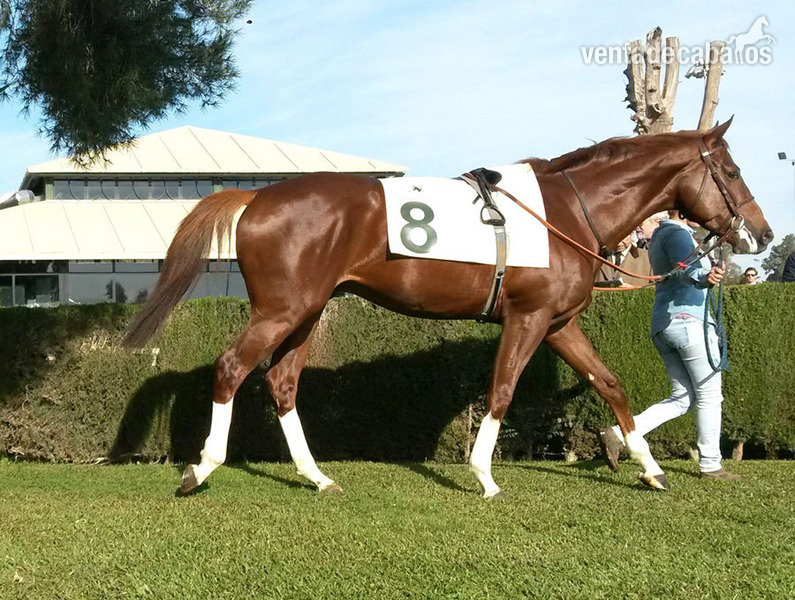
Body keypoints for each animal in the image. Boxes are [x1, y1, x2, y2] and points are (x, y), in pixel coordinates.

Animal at [124, 119, 772, 498]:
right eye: (733, 169)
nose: (761, 233)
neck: (565, 211)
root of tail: (256, 195)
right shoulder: (528, 318)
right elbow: (502, 390)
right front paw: (484, 475)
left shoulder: (560, 322)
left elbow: (609, 382)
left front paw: (648, 467)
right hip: (281, 312)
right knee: (232, 368)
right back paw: (200, 469)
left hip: (305, 314)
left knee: (282, 384)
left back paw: (317, 476)